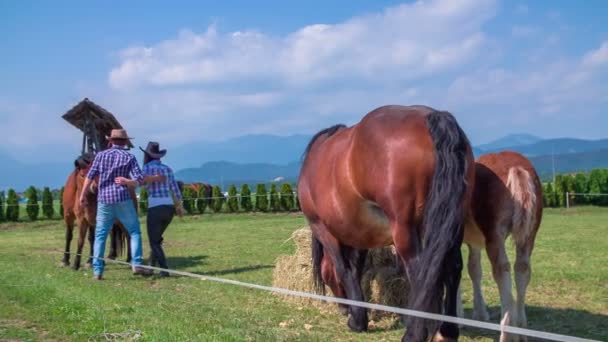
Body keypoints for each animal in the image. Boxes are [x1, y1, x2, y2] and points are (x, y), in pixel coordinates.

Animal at [300, 105, 476, 342]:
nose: (342, 308)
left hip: (404, 229)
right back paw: (446, 331)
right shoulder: (361, 234)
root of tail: (432, 117)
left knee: (421, 271)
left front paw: (357, 320)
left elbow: (343, 268)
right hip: (452, 223)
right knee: (452, 267)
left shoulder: (322, 228)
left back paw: (414, 334)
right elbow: (356, 269)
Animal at [464, 152, 544, 342]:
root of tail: (517, 167)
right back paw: (521, 328)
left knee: (501, 270)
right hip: (529, 234)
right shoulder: (473, 243)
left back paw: (507, 332)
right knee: (522, 269)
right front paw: (480, 314)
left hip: (494, 235)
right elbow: (474, 269)